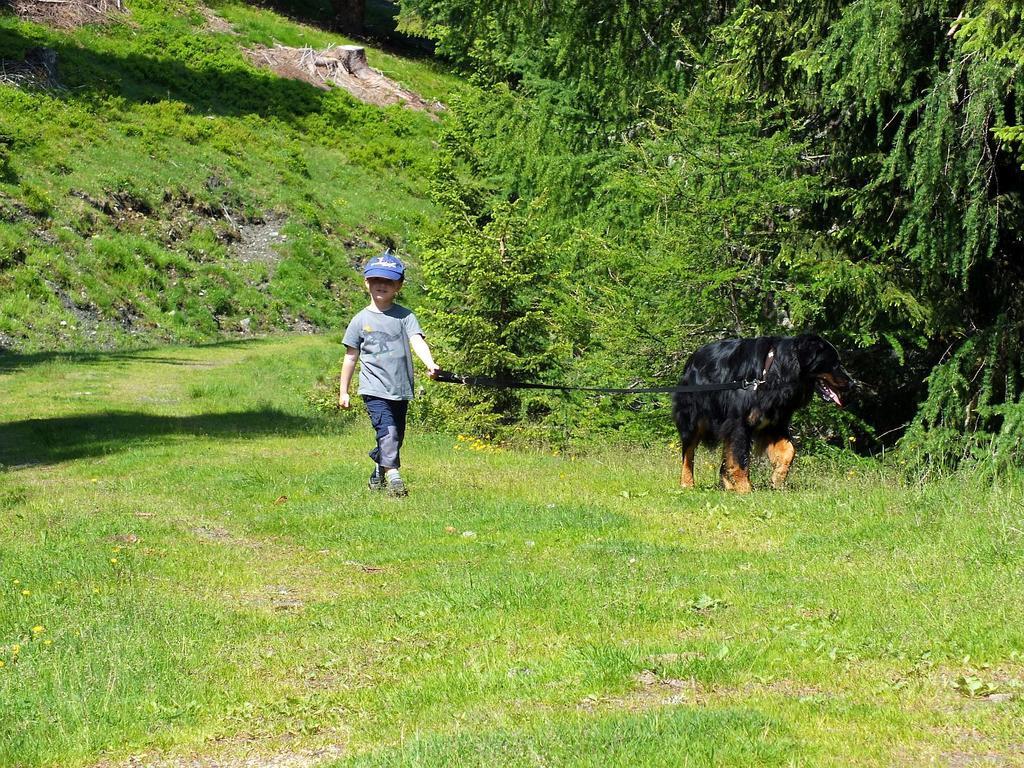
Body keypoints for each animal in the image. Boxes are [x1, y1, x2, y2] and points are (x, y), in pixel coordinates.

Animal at [671, 335, 856, 493]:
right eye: (834, 363)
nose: (852, 384)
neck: (771, 373)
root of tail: (692, 358)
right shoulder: (739, 424)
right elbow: (740, 458)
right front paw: (745, 488)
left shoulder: (774, 424)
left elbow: (789, 451)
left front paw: (777, 479)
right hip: (692, 420)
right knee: (688, 453)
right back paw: (687, 483)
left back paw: (728, 485)